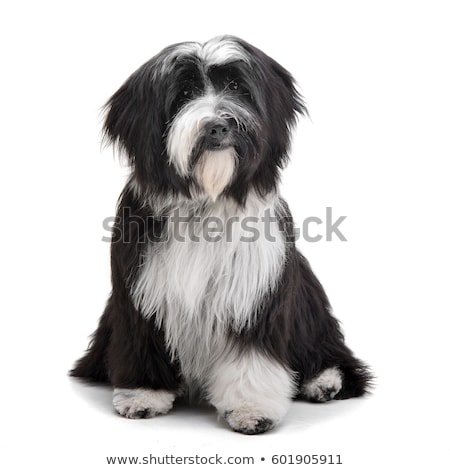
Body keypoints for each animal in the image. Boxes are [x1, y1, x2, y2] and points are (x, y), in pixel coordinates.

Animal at [71, 35, 372, 436]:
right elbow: (142, 338)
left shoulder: (255, 294)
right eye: (183, 93)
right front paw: (144, 394)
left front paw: (251, 407)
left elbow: (252, 357)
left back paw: (325, 380)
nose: (217, 127)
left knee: (328, 350)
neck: (207, 202)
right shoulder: (140, 293)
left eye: (236, 87)